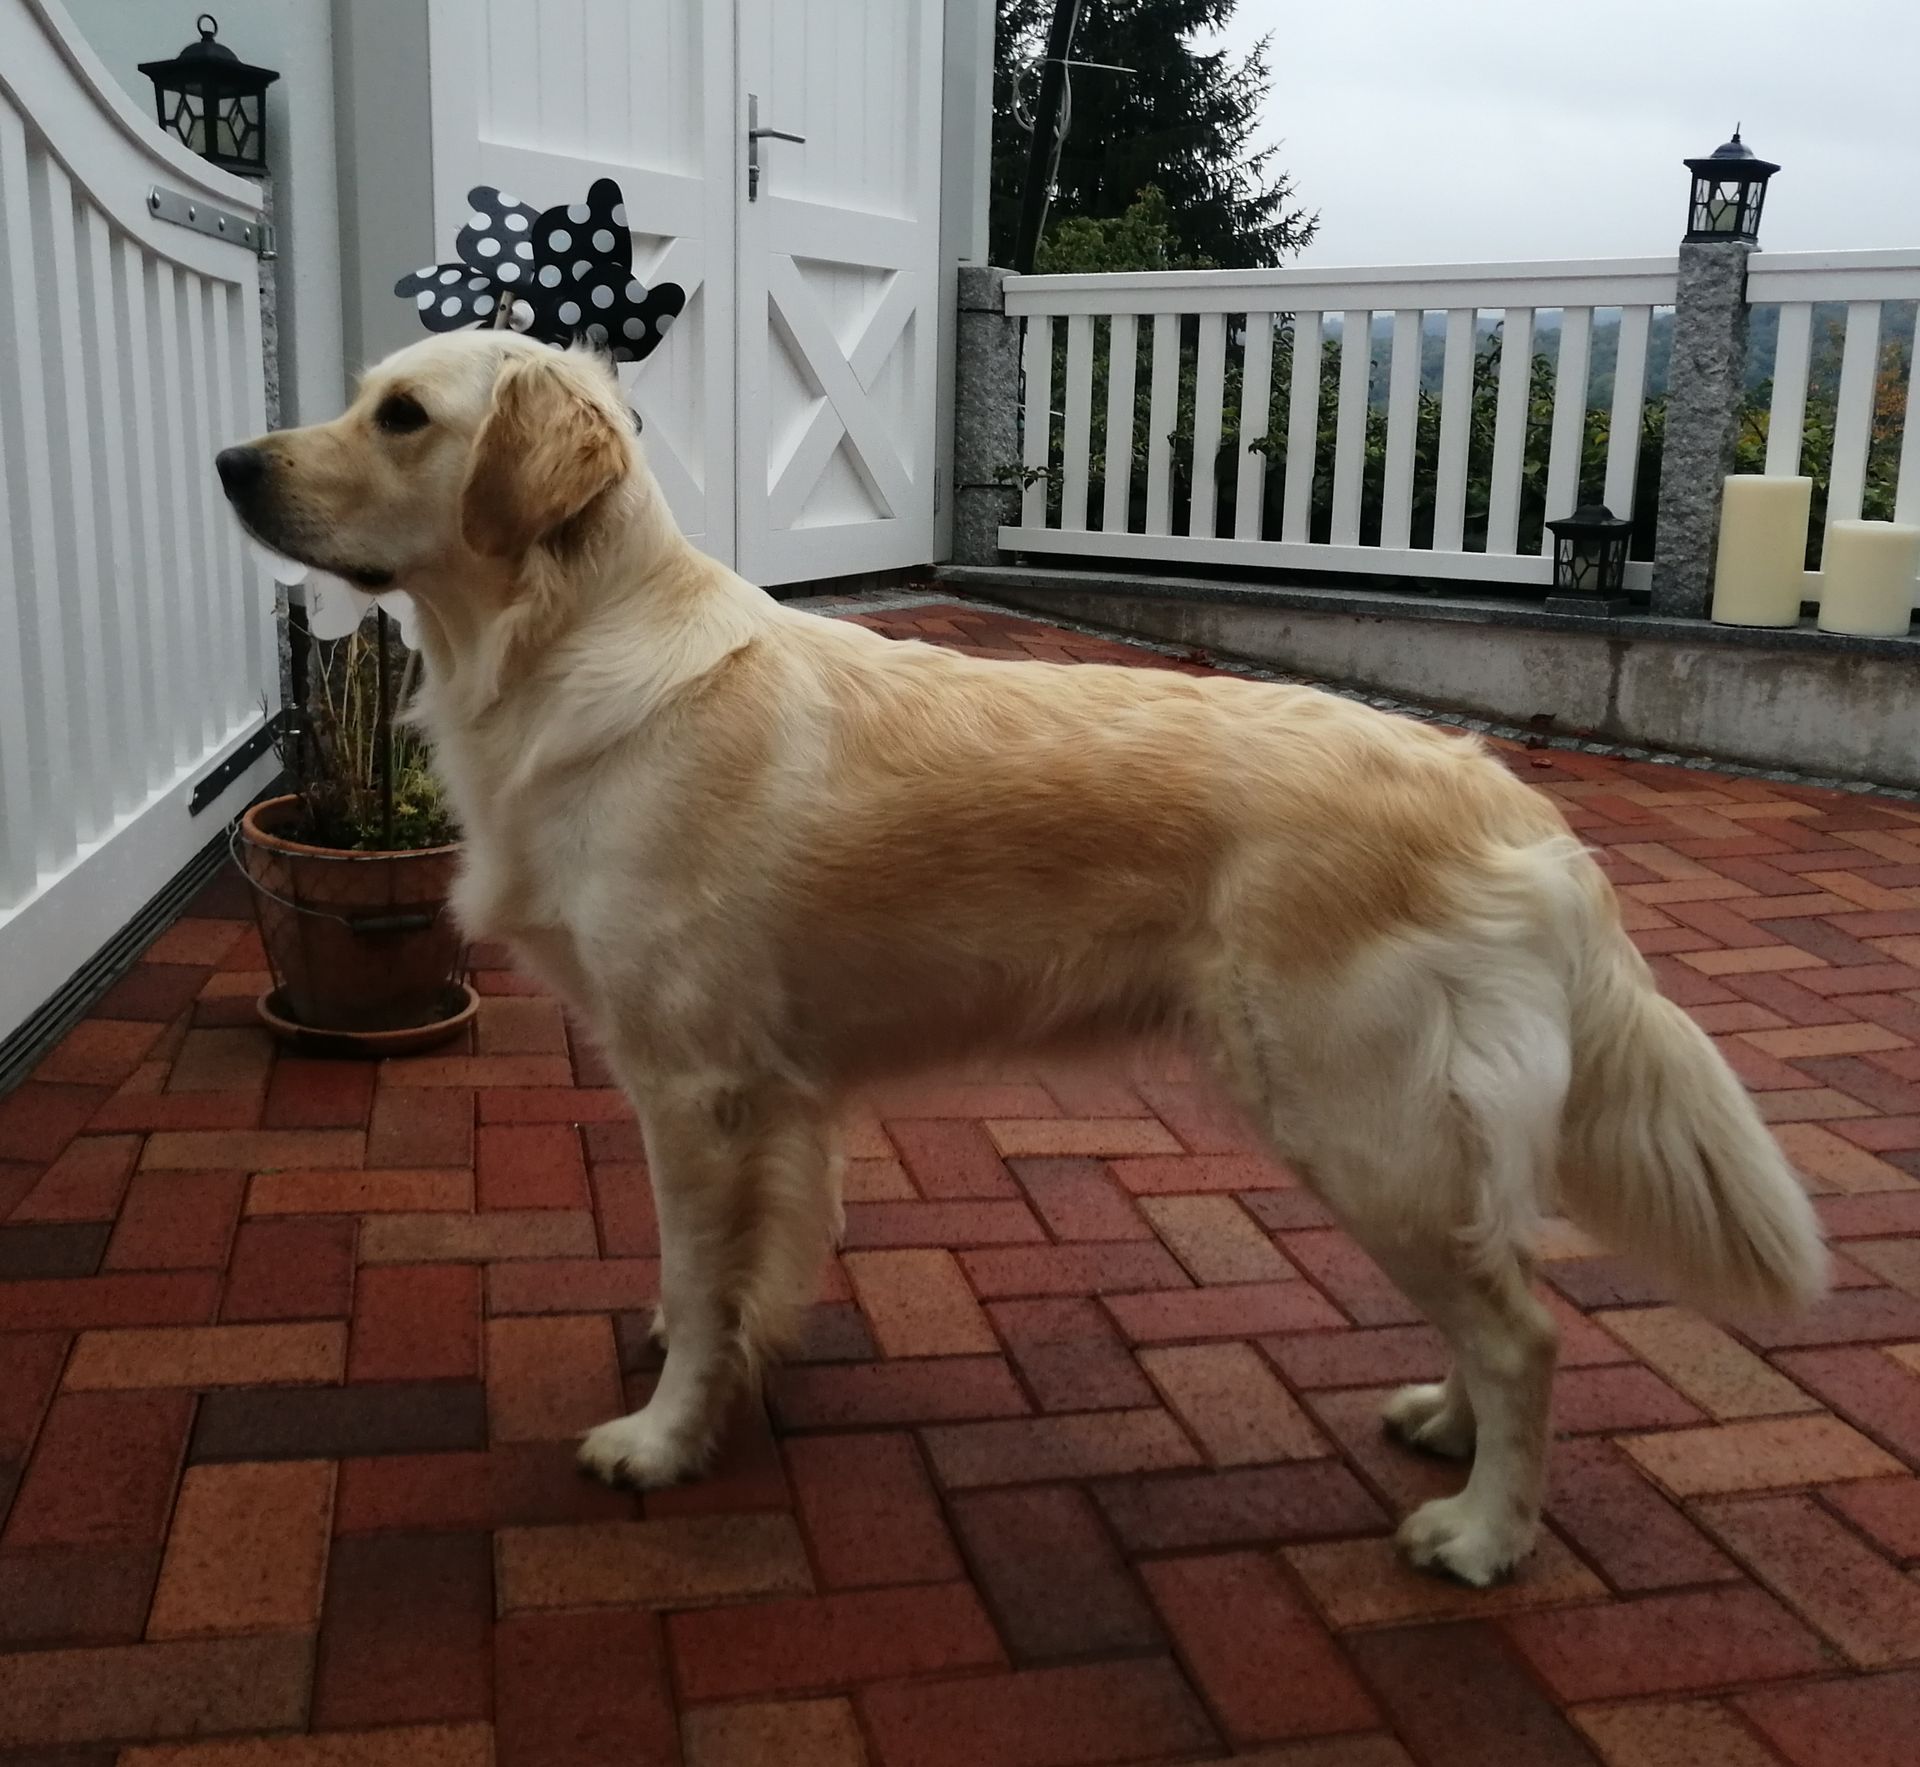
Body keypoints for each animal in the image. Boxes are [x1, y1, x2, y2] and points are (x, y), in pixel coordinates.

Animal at [216, 331, 1825, 1586]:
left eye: (402, 414)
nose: (232, 461)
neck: (563, 645)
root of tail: (1519, 803)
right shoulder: (760, 1097)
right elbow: (727, 1274)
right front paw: (702, 1348)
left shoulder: (696, 1082)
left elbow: (700, 1263)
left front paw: (666, 1437)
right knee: (1499, 1296)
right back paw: (1445, 1419)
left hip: (1360, 1118)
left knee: (1529, 1333)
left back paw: (1485, 1531)